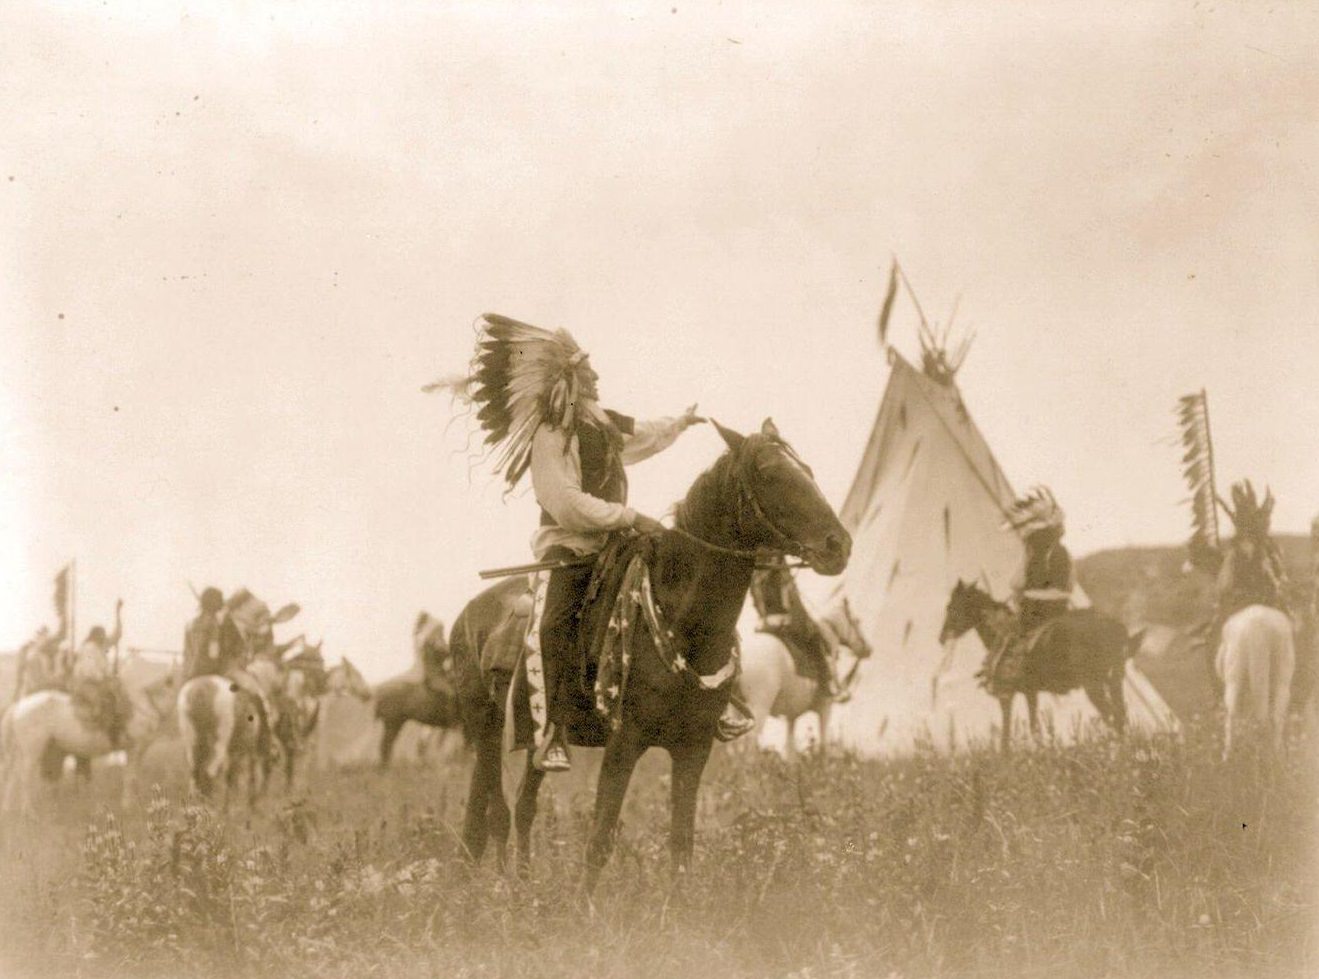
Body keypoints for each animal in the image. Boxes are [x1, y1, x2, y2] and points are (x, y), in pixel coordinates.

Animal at [0, 670, 178, 818]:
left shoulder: (137, 752)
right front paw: (128, 806)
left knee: (13, 775)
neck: (141, 707)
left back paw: (8, 808)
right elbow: (130, 778)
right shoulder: (134, 749)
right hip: (32, 751)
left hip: (21, 751)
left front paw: (134, 803)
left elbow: (133, 778)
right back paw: (29, 812)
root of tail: (18, 706)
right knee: (24, 777)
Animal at [448, 416, 849, 891]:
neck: (680, 620)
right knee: (494, 813)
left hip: (531, 741)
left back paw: (518, 885)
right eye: (769, 473)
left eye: (806, 470)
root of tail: (469, 615)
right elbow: (599, 841)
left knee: (518, 810)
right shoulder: (625, 743)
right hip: (487, 731)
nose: (839, 545)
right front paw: (584, 907)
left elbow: (681, 847)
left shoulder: (693, 748)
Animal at [738, 599, 870, 759]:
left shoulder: (791, 716)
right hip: (758, 707)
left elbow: (790, 749)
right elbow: (823, 745)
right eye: (856, 621)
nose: (868, 649)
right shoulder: (825, 707)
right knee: (750, 742)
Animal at [939, 583, 1134, 749]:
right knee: (1120, 715)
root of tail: (1113, 625)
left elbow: (1005, 737)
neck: (1000, 632)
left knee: (1113, 716)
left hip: (1093, 685)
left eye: (950, 606)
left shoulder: (1005, 695)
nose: (942, 637)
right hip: (1114, 681)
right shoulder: (1030, 692)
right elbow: (1034, 727)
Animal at [1213, 606, 1297, 759]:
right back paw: (1276, 756)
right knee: (1277, 714)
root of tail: (1259, 626)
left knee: (1231, 715)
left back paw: (1229, 754)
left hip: (1234, 674)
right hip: (1283, 673)